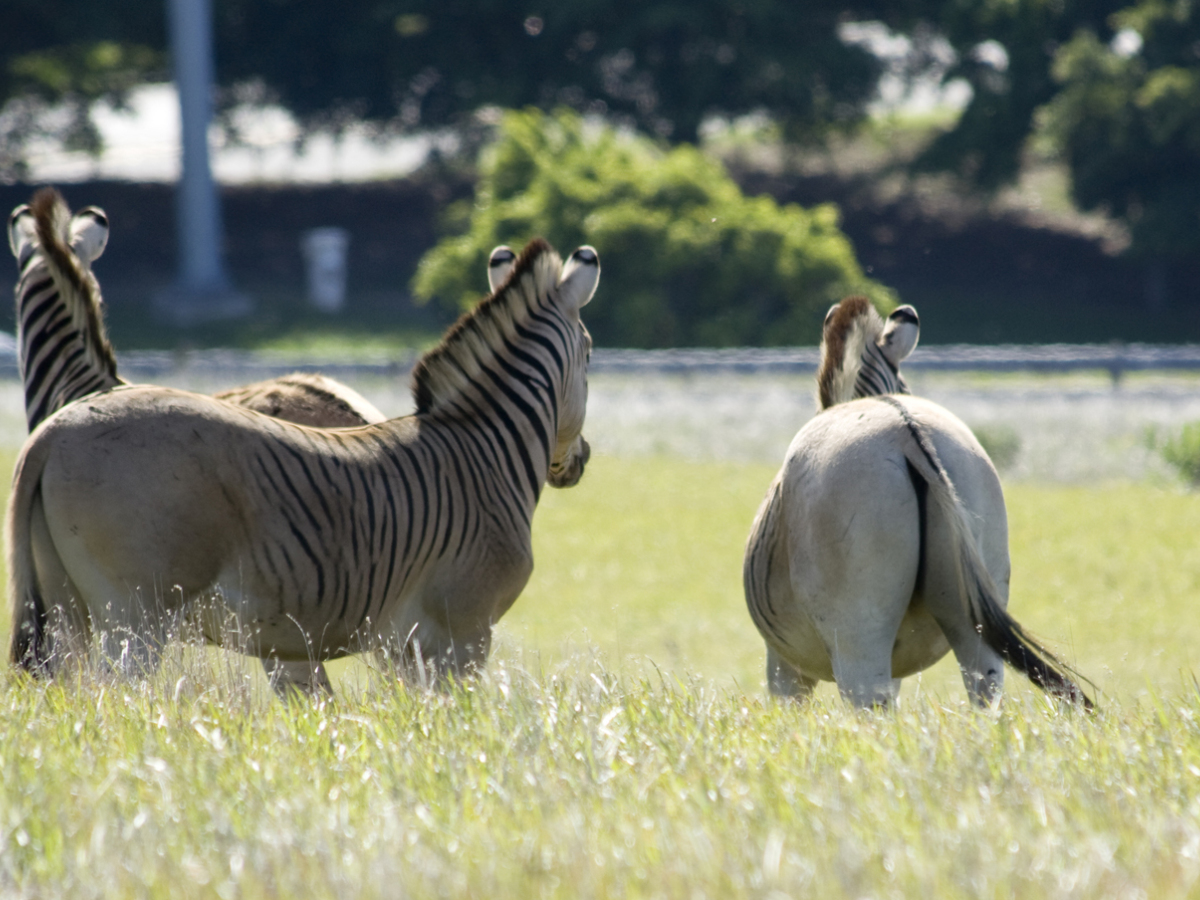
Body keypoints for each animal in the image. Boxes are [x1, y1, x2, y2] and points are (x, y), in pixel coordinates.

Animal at [8, 238, 600, 697]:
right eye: (591, 355)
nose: (579, 462)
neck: (484, 450)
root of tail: (53, 432)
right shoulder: (463, 635)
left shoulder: (408, 646)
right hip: (134, 619)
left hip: (67, 612)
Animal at [743, 297, 1092, 709]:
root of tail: (904, 429)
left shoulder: (784, 665)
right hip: (973, 615)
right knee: (984, 694)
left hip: (857, 638)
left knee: (869, 707)